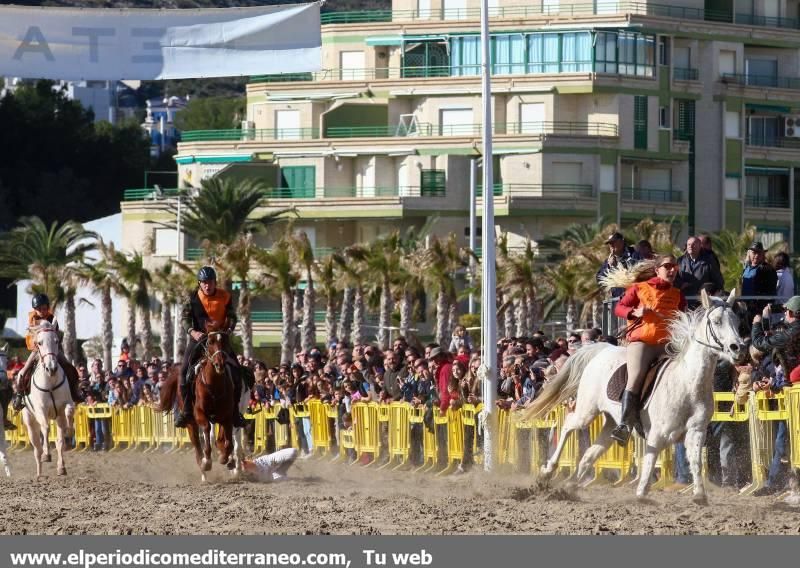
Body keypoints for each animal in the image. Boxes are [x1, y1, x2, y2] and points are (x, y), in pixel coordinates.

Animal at [21, 322, 72, 478]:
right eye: (39, 342)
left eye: (56, 341)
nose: (52, 368)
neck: (50, 381)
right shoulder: (41, 410)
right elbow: (46, 428)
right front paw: (47, 454)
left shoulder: (65, 406)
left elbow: (69, 412)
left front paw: (70, 431)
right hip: (30, 422)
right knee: (36, 447)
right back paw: (39, 473)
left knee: (58, 441)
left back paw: (60, 467)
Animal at [159, 330, 234, 482]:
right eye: (210, 342)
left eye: (226, 341)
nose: (220, 364)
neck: (214, 385)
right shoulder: (200, 414)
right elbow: (206, 430)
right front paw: (207, 461)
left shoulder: (227, 416)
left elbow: (228, 442)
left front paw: (224, 457)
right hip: (190, 424)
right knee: (197, 447)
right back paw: (203, 470)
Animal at [524, 290, 744, 504]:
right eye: (716, 321)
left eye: (736, 320)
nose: (738, 348)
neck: (687, 384)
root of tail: (602, 350)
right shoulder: (657, 434)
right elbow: (649, 459)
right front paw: (641, 493)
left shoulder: (696, 432)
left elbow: (696, 461)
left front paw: (699, 495)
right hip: (587, 412)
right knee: (568, 424)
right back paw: (547, 471)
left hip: (611, 422)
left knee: (589, 454)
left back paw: (570, 486)